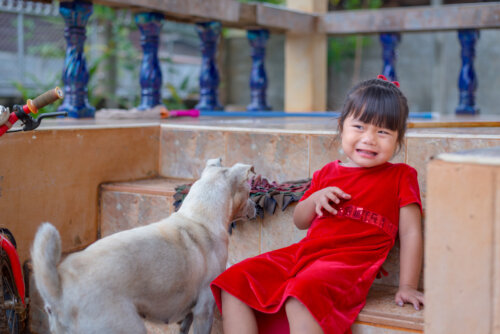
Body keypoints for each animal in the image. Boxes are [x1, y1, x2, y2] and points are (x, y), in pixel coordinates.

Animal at [32, 159, 254, 334]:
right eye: (249, 189)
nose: (254, 206)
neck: (198, 216)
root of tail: (59, 288)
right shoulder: (204, 309)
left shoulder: (190, 312)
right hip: (128, 327)